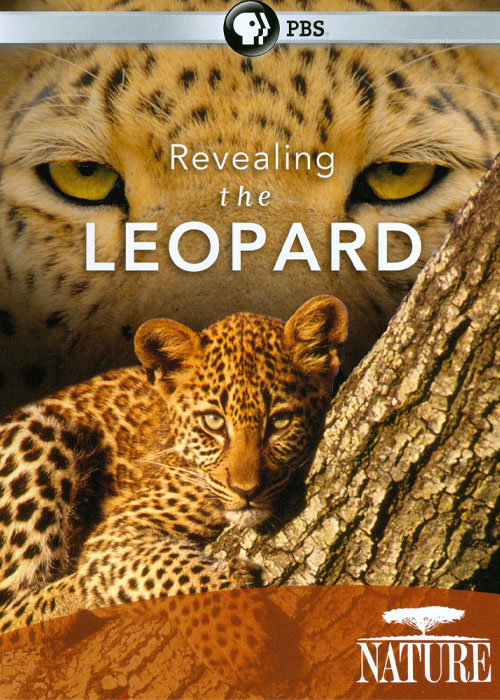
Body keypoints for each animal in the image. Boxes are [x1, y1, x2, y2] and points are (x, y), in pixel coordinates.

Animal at [0, 294, 347, 633]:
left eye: (280, 421)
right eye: (213, 421)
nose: (246, 491)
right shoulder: (118, 532)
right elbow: (159, 568)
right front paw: (235, 604)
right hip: (40, 434)